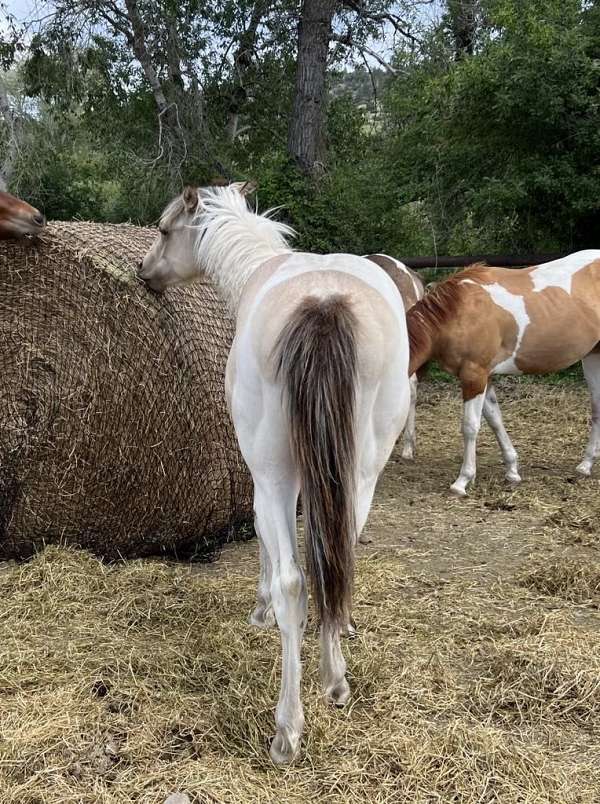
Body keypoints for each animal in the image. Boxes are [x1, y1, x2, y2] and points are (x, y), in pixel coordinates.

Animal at [138, 183, 411, 764]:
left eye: (166, 230)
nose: (143, 271)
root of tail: (324, 303)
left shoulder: (262, 477)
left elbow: (267, 548)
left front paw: (260, 610)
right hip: (362, 471)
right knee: (335, 561)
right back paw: (335, 679)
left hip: (275, 475)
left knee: (295, 581)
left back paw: (288, 728)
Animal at [406, 251, 600, 495]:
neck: (455, 312)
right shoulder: (484, 377)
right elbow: (495, 420)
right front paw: (512, 470)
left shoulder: (473, 375)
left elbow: (470, 426)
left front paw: (462, 480)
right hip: (592, 356)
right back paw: (586, 465)